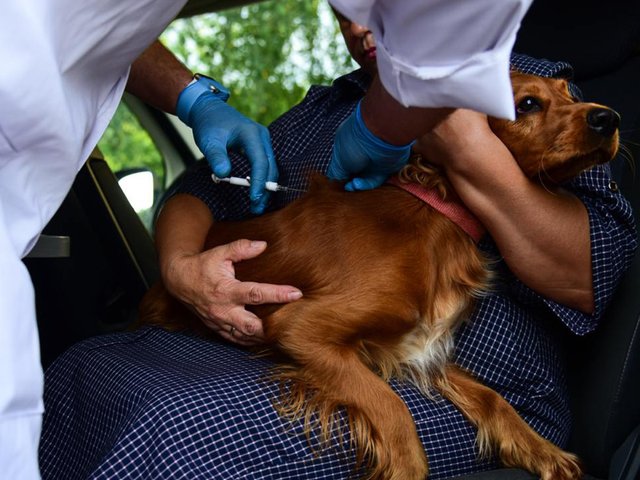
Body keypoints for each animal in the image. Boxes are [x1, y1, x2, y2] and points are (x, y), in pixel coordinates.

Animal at [139, 72, 620, 480]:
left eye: (569, 92)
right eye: (527, 104)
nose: (609, 118)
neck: (433, 212)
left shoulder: (423, 348)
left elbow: (492, 397)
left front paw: (543, 450)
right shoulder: (301, 327)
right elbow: (393, 410)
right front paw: (405, 466)